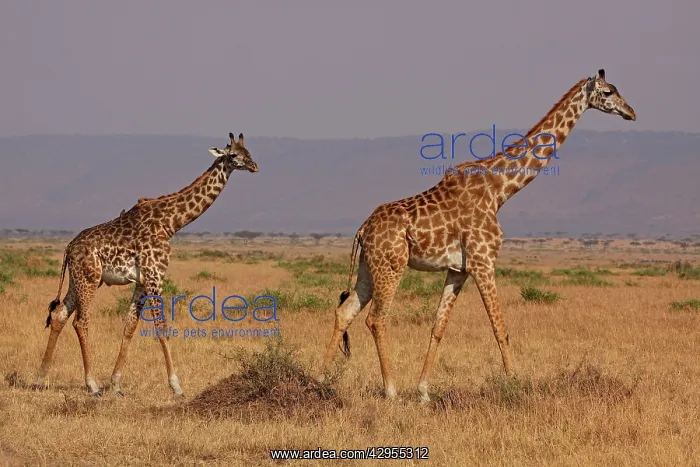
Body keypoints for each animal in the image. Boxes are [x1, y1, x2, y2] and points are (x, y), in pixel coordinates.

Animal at [36, 132, 258, 397]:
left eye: (249, 152)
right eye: (233, 155)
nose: (255, 166)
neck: (170, 223)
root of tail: (69, 247)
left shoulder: (142, 281)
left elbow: (130, 326)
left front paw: (116, 384)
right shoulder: (155, 275)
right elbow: (161, 326)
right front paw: (176, 386)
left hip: (80, 278)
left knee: (59, 315)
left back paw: (41, 378)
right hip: (88, 279)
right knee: (81, 322)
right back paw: (92, 385)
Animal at [320, 69, 636, 402]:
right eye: (608, 92)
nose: (631, 112)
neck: (500, 191)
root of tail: (363, 229)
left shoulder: (458, 269)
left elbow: (438, 327)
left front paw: (424, 392)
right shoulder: (484, 261)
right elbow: (500, 326)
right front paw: (515, 382)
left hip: (369, 267)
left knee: (345, 312)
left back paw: (321, 379)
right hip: (391, 265)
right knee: (376, 319)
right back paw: (390, 390)